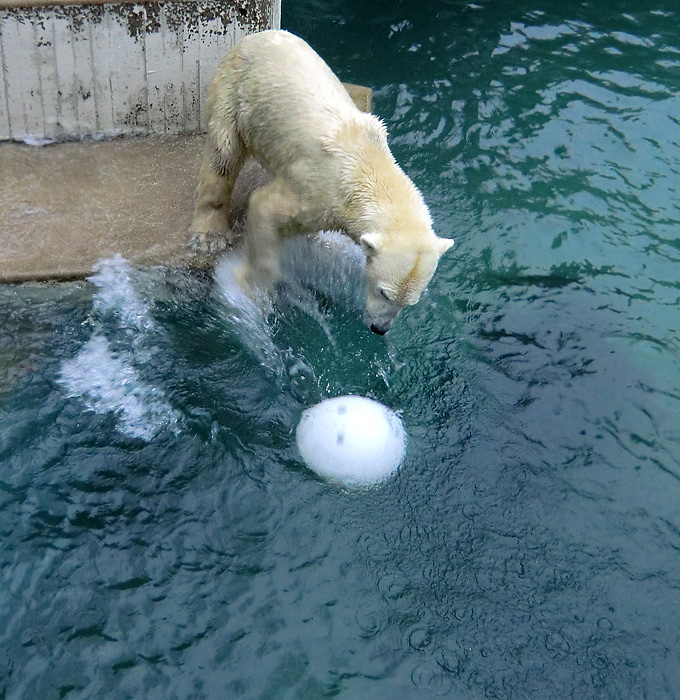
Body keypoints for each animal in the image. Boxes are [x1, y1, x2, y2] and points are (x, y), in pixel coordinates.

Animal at [191, 28, 454, 334]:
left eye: (410, 302)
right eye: (383, 292)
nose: (380, 328)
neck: (367, 166)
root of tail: (260, 35)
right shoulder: (318, 189)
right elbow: (265, 208)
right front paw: (248, 288)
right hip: (235, 89)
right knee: (223, 154)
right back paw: (209, 235)